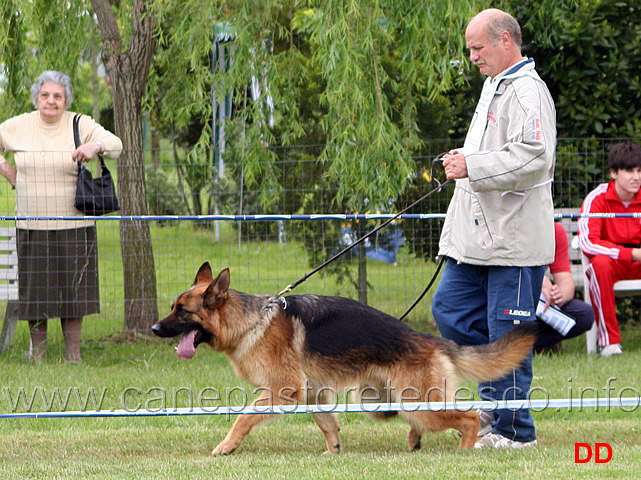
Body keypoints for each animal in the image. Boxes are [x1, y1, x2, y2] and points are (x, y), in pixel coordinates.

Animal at [151, 262, 536, 454]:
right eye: (173, 307)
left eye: (182, 311)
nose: (154, 328)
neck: (250, 321)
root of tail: (428, 339)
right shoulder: (312, 393)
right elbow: (327, 423)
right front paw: (332, 451)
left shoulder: (281, 391)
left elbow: (243, 418)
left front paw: (226, 446)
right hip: (381, 401)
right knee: (429, 420)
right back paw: (415, 441)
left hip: (416, 402)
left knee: (468, 416)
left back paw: (465, 451)